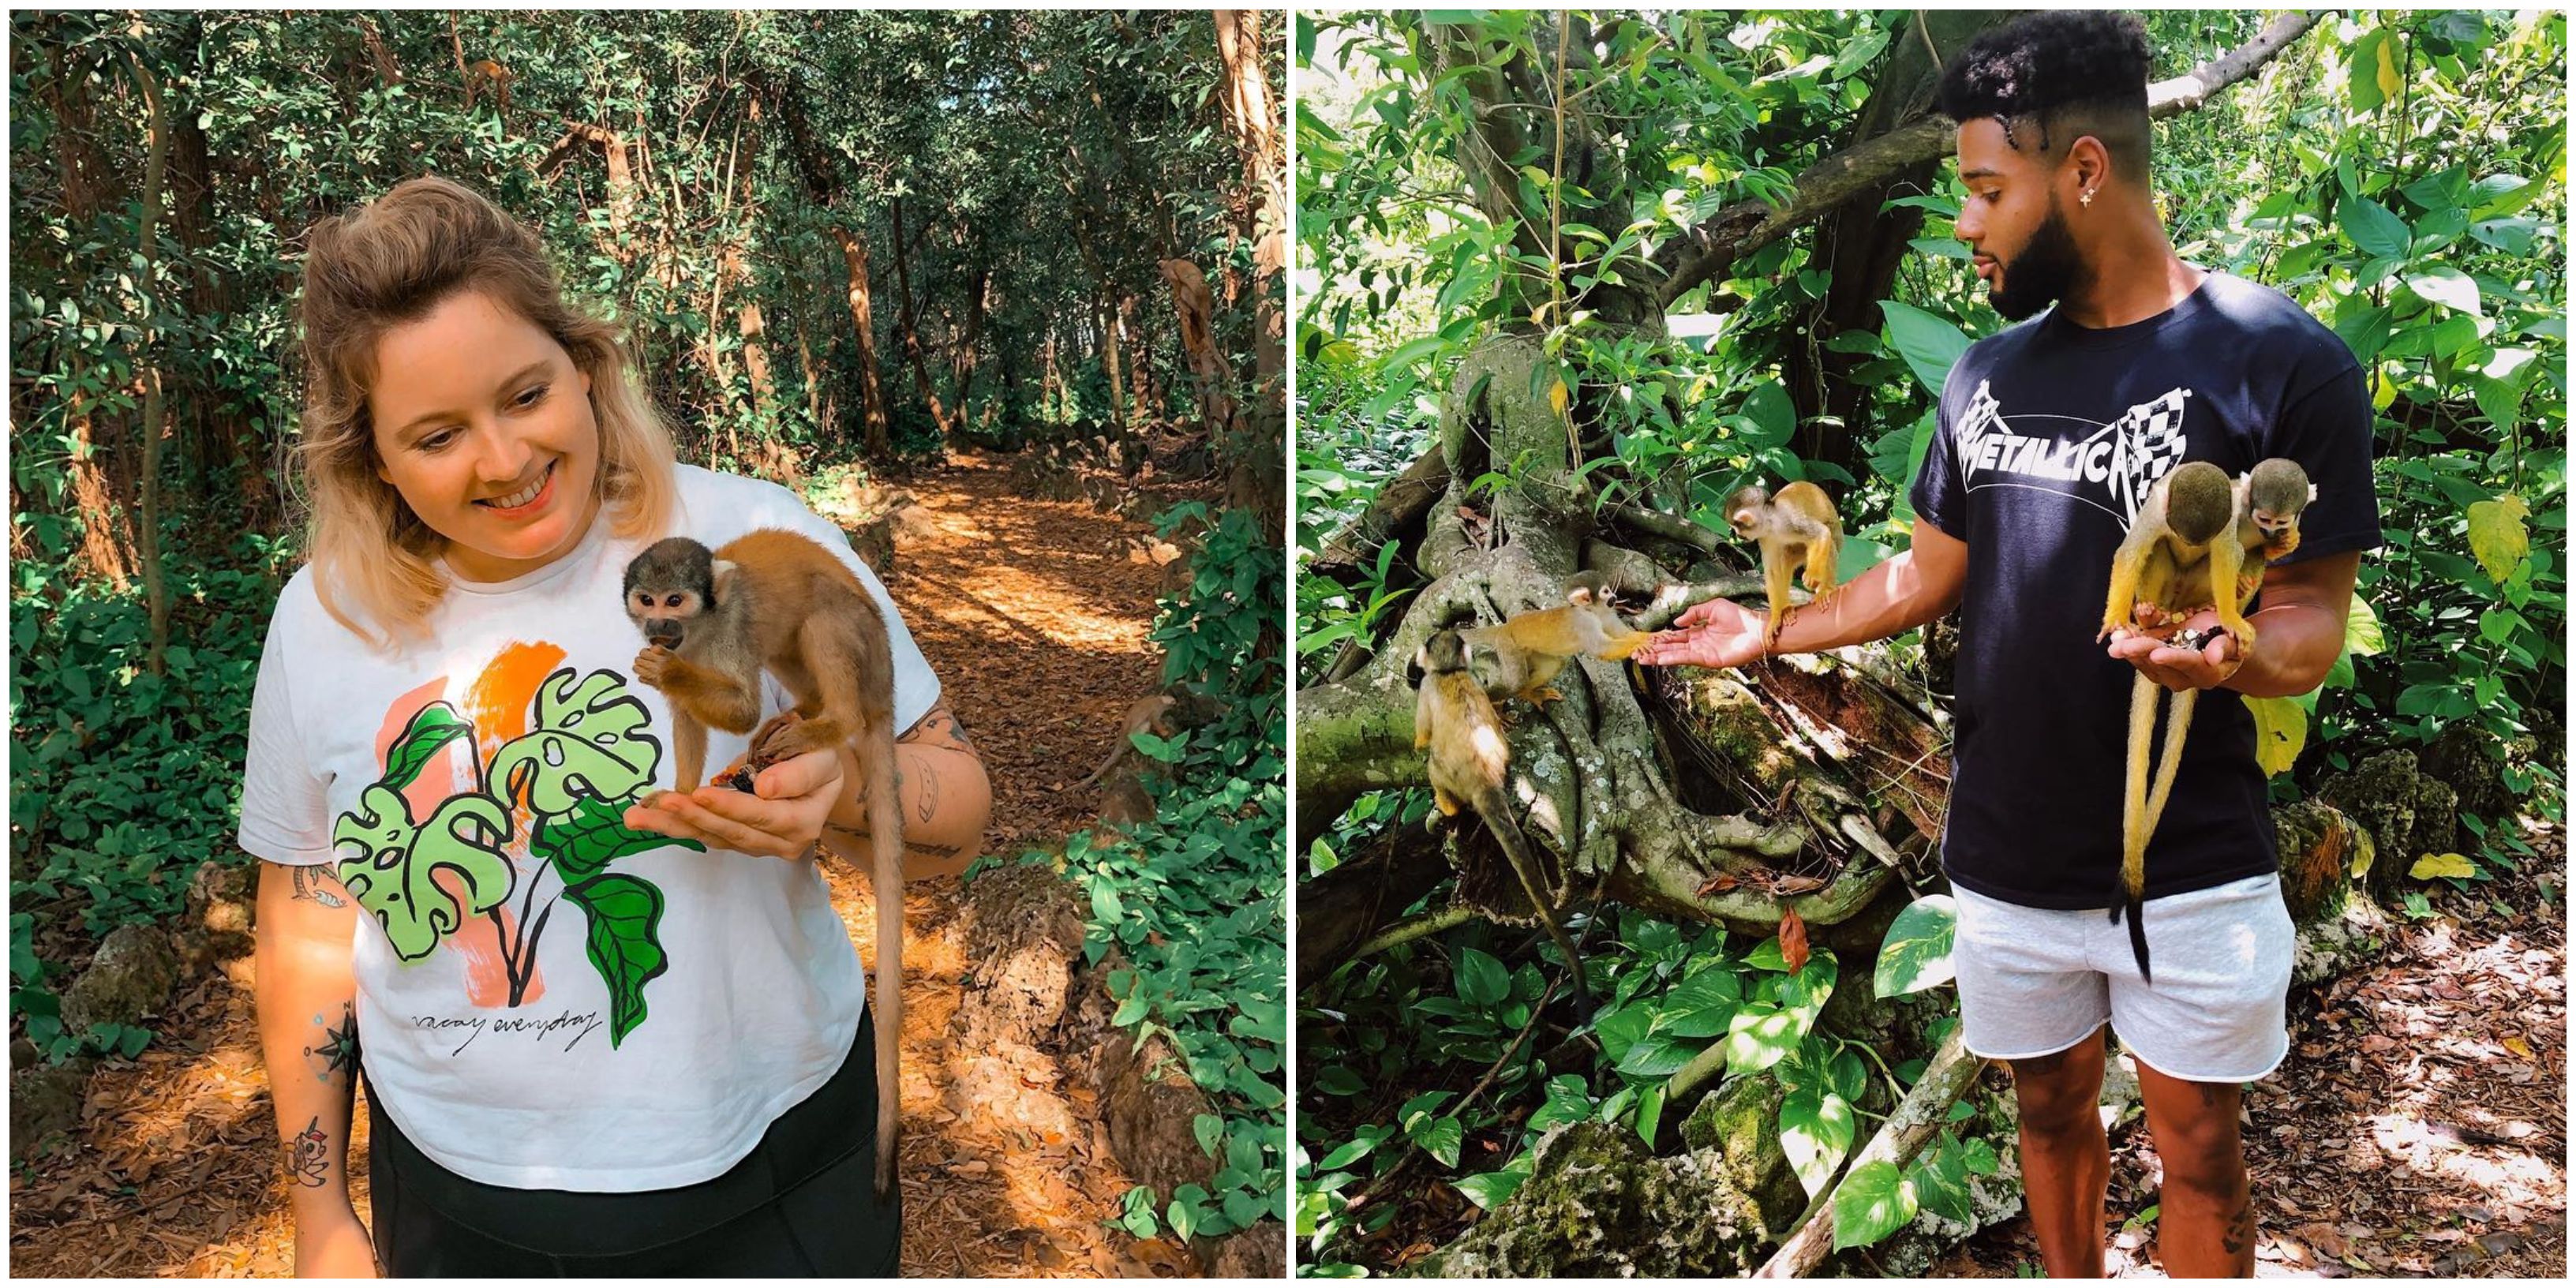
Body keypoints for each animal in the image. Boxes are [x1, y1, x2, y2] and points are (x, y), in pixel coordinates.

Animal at [621, 530, 906, 1200]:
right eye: (647, 600)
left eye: (676, 600)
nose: (658, 627)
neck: (700, 629)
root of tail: (887, 689)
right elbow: (687, 717)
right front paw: (681, 792)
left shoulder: (730, 630)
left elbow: (740, 707)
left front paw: (671, 672)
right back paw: (804, 711)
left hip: (867, 651)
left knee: (823, 617)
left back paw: (830, 721)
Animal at [1415, 629, 1592, 1010]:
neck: (1451, 672)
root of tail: (1483, 780)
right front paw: (1503, 714)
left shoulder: (1427, 686)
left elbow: (1422, 737)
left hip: (1449, 774)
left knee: (1434, 763)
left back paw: (1447, 806)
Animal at [1457, 571, 1653, 705]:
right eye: (1606, 591)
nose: (1614, 597)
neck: (1591, 611)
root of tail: (1506, 627)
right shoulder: (1584, 623)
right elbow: (1601, 649)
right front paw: (1640, 644)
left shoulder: (1605, 613)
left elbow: (1622, 634)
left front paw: (1652, 637)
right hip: (1508, 647)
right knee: (1516, 683)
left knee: (1555, 664)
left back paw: (1530, 693)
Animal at [1726, 481, 1843, 647]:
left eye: (1736, 526)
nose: (1737, 535)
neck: (1770, 523)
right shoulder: (1765, 537)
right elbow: (1773, 571)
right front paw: (1775, 617)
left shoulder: (1788, 520)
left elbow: (1821, 533)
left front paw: (1813, 576)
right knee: (1786, 558)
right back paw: (1786, 608)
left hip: (1837, 536)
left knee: (1830, 541)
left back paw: (1827, 588)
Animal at [2097, 460, 2312, 982]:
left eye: (2277, 519)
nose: (2273, 529)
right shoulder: (2161, 514)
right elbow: (2133, 552)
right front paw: (2115, 619)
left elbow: (2229, 556)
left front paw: (2235, 613)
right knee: (2159, 557)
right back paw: (2150, 613)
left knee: (2235, 565)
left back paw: (2204, 609)